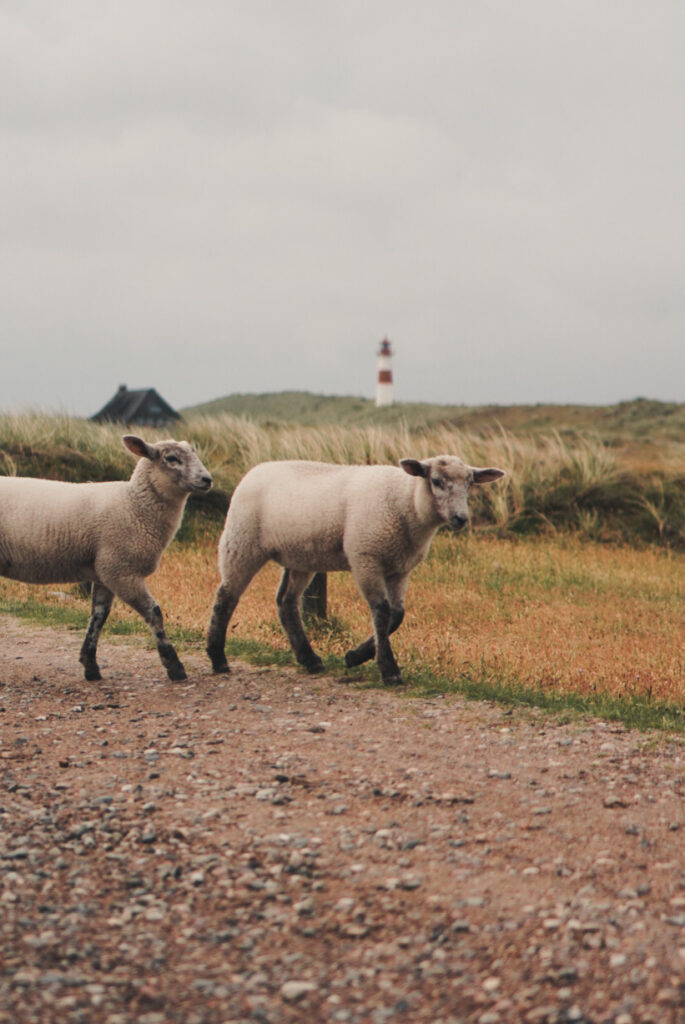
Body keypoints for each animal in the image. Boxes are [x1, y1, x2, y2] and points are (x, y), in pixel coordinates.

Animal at [0, 436, 210, 684]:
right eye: (171, 458)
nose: (207, 479)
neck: (134, 504)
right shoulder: (121, 570)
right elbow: (154, 613)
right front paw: (174, 666)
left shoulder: (105, 572)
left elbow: (99, 616)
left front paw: (90, 665)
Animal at [205, 458, 505, 688]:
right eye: (437, 481)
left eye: (470, 484)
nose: (461, 519)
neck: (406, 502)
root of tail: (255, 470)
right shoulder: (365, 558)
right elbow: (382, 612)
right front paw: (388, 669)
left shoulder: (400, 568)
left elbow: (397, 615)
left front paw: (355, 656)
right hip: (242, 541)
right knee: (226, 596)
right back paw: (218, 658)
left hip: (300, 558)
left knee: (286, 602)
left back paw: (309, 659)